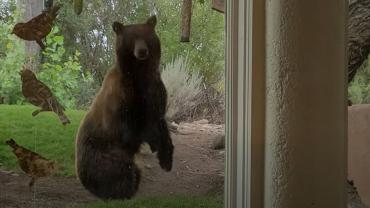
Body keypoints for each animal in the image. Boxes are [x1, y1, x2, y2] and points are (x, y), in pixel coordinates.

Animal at [75, 15, 175, 199]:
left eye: (146, 36)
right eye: (132, 38)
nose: (142, 51)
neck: (138, 73)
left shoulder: (154, 89)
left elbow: (159, 118)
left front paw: (166, 159)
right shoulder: (122, 98)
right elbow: (130, 127)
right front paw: (154, 142)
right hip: (105, 155)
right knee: (119, 172)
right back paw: (122, 190)